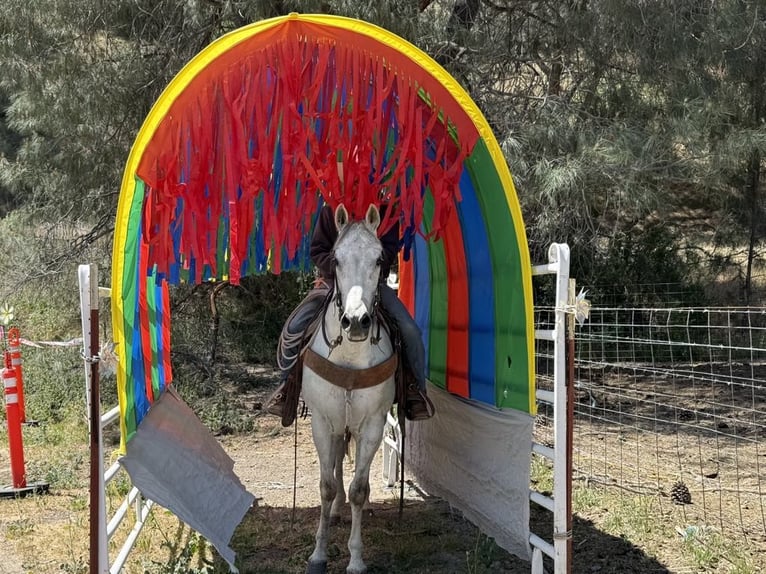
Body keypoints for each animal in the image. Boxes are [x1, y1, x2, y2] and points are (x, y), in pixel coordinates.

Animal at [300, 203, 397, 574]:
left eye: (379, 259)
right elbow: (326, 486)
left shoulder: (372, 425)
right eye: (336, 259)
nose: (356, 322)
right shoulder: (322, 422)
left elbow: (359, 487)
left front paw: (356, 558)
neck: (351, 356)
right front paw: (318, 553)